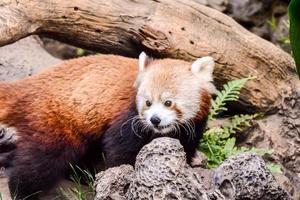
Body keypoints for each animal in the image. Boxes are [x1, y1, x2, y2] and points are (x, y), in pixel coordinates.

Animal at [0, 52, 216, 199]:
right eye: (147, 102)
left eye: (168, 102)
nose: (155, 119)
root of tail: (28, 84)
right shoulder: (127, 117)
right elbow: (119, 150)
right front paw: (125, 177)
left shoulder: (192, 127)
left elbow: (184, 147)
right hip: (54, 122)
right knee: (38, 162)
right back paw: (23, 192)